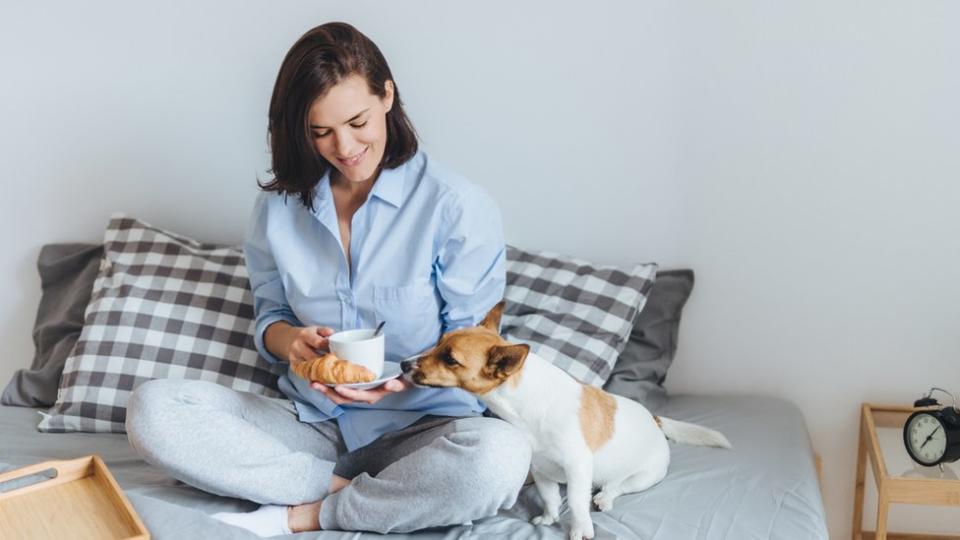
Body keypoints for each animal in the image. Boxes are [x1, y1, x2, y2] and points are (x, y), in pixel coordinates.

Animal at [402, 304, 732, 540]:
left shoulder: (577, 468)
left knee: (617, 487)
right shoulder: (542, 470)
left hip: (646, 476)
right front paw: (548, 519)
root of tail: (654, 418)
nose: (404, 364)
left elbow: (574, 501)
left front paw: (580, 529)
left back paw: (604, 498)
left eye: (450, 359)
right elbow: (549, 498)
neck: (527, 403)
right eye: (438, 342)